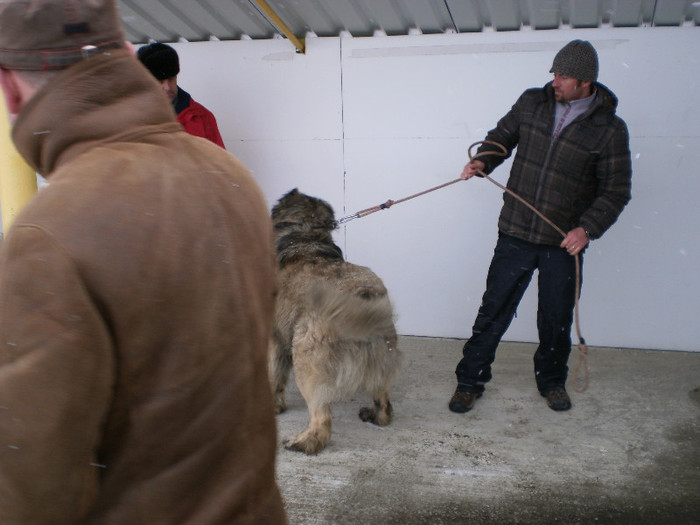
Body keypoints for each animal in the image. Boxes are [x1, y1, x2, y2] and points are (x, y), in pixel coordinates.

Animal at [270, 189, 402, 454]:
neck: (306, 232)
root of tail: (361, 296)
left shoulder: (278, 340)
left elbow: (275, 378)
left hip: (307, 359)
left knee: (321, 419)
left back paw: (303, 442)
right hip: (382, 356)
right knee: (384, 403)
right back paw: (375, 415)